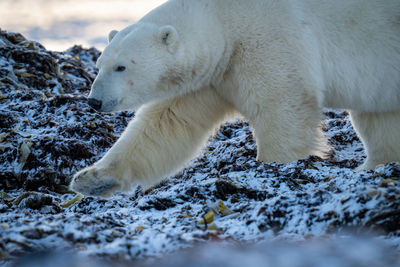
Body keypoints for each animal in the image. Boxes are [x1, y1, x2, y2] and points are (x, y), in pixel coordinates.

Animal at [70, 0, 400, 198]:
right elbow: (165, 125)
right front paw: (92, 178)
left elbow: (282, 107)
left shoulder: (270, 40)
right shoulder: (211, 75)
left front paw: (275, 166)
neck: (223, 18)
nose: (94, 102)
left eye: (122, 66)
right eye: (99, 64)